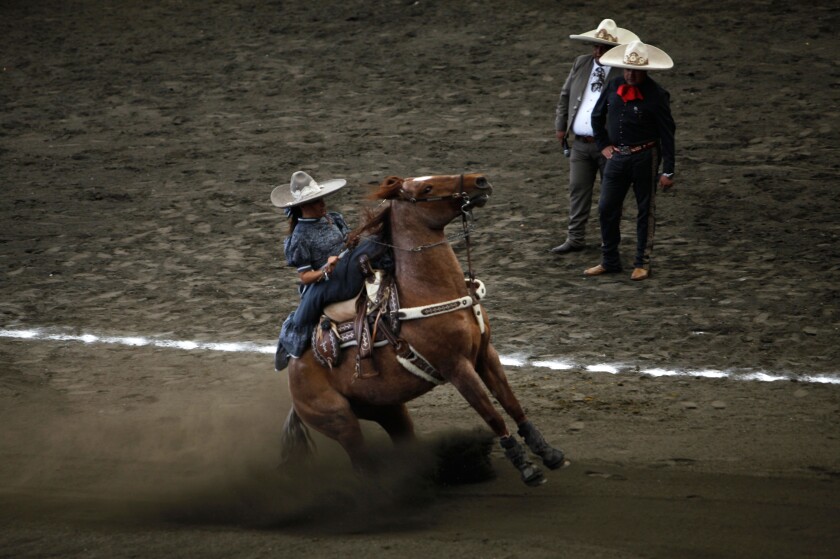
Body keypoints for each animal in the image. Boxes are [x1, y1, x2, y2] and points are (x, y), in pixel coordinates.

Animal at [280, 174, 564, 486]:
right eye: (427, 188)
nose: (480, 180)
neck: (429, 291)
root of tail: (294, 376)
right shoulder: (457, 368)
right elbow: (492, 415)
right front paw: (527, 468)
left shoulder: (485, 354)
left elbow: (512, 403)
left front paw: (547, 452)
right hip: (340, 422)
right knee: (361, 461)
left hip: (389, 408)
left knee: (404, 441)